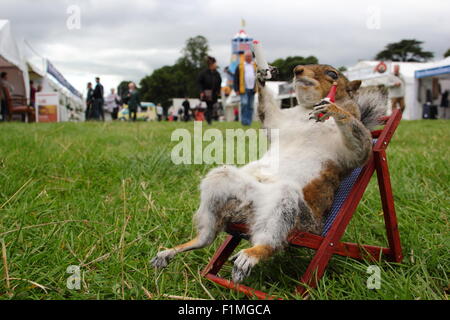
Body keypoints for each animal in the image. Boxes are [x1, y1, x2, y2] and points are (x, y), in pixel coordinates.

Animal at [152, 61, 386, 284]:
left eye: (332, 73)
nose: (297, 69)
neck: (306, 110)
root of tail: (245, 211)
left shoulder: (347, 153)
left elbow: (362, 147)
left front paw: (333, 109)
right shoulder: (279, 122)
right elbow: (268, 114)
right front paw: (262, 76)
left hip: (290, 209)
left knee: (271, 239)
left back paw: (252, 254)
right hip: (225, 186)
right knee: (208, 236)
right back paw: (177, 249)